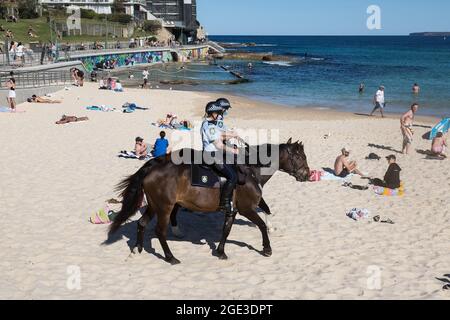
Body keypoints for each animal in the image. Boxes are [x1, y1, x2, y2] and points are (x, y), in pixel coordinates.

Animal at [109, 138, 310, 264]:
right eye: (300, 157)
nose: (307, 175)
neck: (251, 169)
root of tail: (152, 168)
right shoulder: (247, 209)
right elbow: (260, 224)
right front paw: (267, 248)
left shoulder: (232, 210)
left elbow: (226, 230)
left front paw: (220, 252)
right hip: (164, 208)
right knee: (160, 231)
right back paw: (170, 257)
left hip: (154, 205)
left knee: (142, 223)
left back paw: (138, 249)